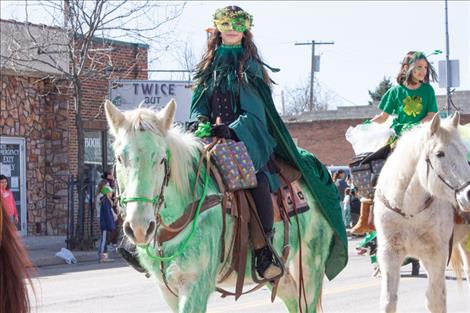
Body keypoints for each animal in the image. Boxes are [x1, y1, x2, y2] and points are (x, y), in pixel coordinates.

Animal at [103, 98, 338, 310]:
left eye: (161, 159)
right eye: (119, 158)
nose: (139, 228)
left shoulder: (195, 286)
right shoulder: (167, 290)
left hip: (310, 268)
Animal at [376, 112, 470, 312]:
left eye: (463, 151)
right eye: (439, 154)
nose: (469, 193)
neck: (409, 210)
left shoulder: (436, 255)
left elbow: (435, 300)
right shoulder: (389, 253)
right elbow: (388, 300)